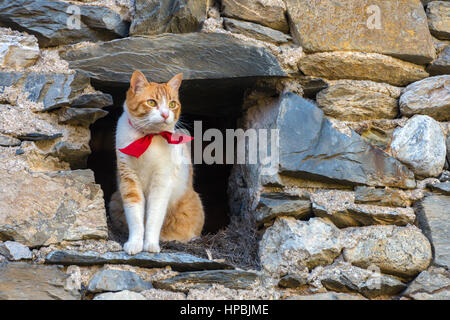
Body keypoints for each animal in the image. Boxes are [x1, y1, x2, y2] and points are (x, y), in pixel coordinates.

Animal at [115, 70, 205, 255]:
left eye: (172, 104)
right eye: (151, 102)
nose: (165, 114)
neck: (149, 138)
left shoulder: (161, 182)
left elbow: (154, 217)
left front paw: (150, 244)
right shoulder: (129, 180)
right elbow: (135, 218)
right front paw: (135, 243)